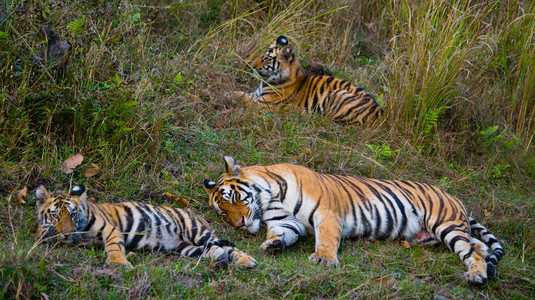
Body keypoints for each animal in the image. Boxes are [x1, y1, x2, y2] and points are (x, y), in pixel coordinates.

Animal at [35, 183, 258, 270]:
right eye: (55, 216)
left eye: (72, 215)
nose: (66, 234)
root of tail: (197, 213)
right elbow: (44, 232)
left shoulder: (110, 228)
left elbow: (114, 246)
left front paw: (119, 263)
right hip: (187, 248)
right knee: (215, 250)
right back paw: (219, 261)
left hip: (197, 232)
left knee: (229, 247)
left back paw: (247, 261)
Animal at [203, 156, 504, 284]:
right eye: (222, 213)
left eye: (233, 198)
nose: (238, 224)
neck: (271, 196)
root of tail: (454, 197)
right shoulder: (285, 222)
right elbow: (282, 234)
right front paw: (272, 246)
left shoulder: (326, 214)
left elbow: (326, 239)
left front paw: (324, 259)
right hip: (442, 234)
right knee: (478, 247)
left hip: (447, 225)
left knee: (470, 252)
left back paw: (477, 275)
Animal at [236, 35, 386, 125]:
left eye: (266, 58)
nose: (251, 65)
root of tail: (381, 114)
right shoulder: (255, 95)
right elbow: (241, 93)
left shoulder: (264, 103)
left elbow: (241, 97)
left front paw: (230, 96)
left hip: (338, 94)